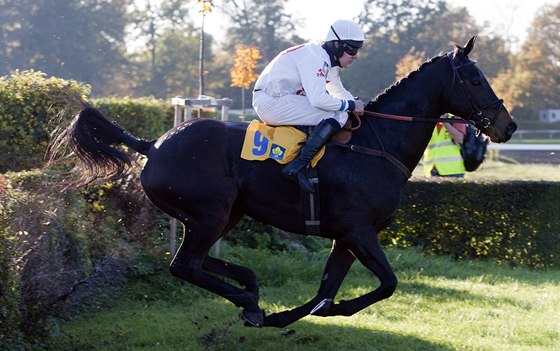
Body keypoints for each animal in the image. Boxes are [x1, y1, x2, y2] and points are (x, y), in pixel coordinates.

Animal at [44, 37, 516, 328]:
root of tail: (153, 144)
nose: (507, 125)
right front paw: (330, 310)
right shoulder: (358, 232)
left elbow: (326, 290)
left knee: (200, 261)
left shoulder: (345, 238)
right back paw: (249, 301)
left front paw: (291, 315)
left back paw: (251, 289)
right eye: (475, 79)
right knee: (185, 265)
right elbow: (386, 284)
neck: (377, 143)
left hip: (225, 214)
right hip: (211, 212)